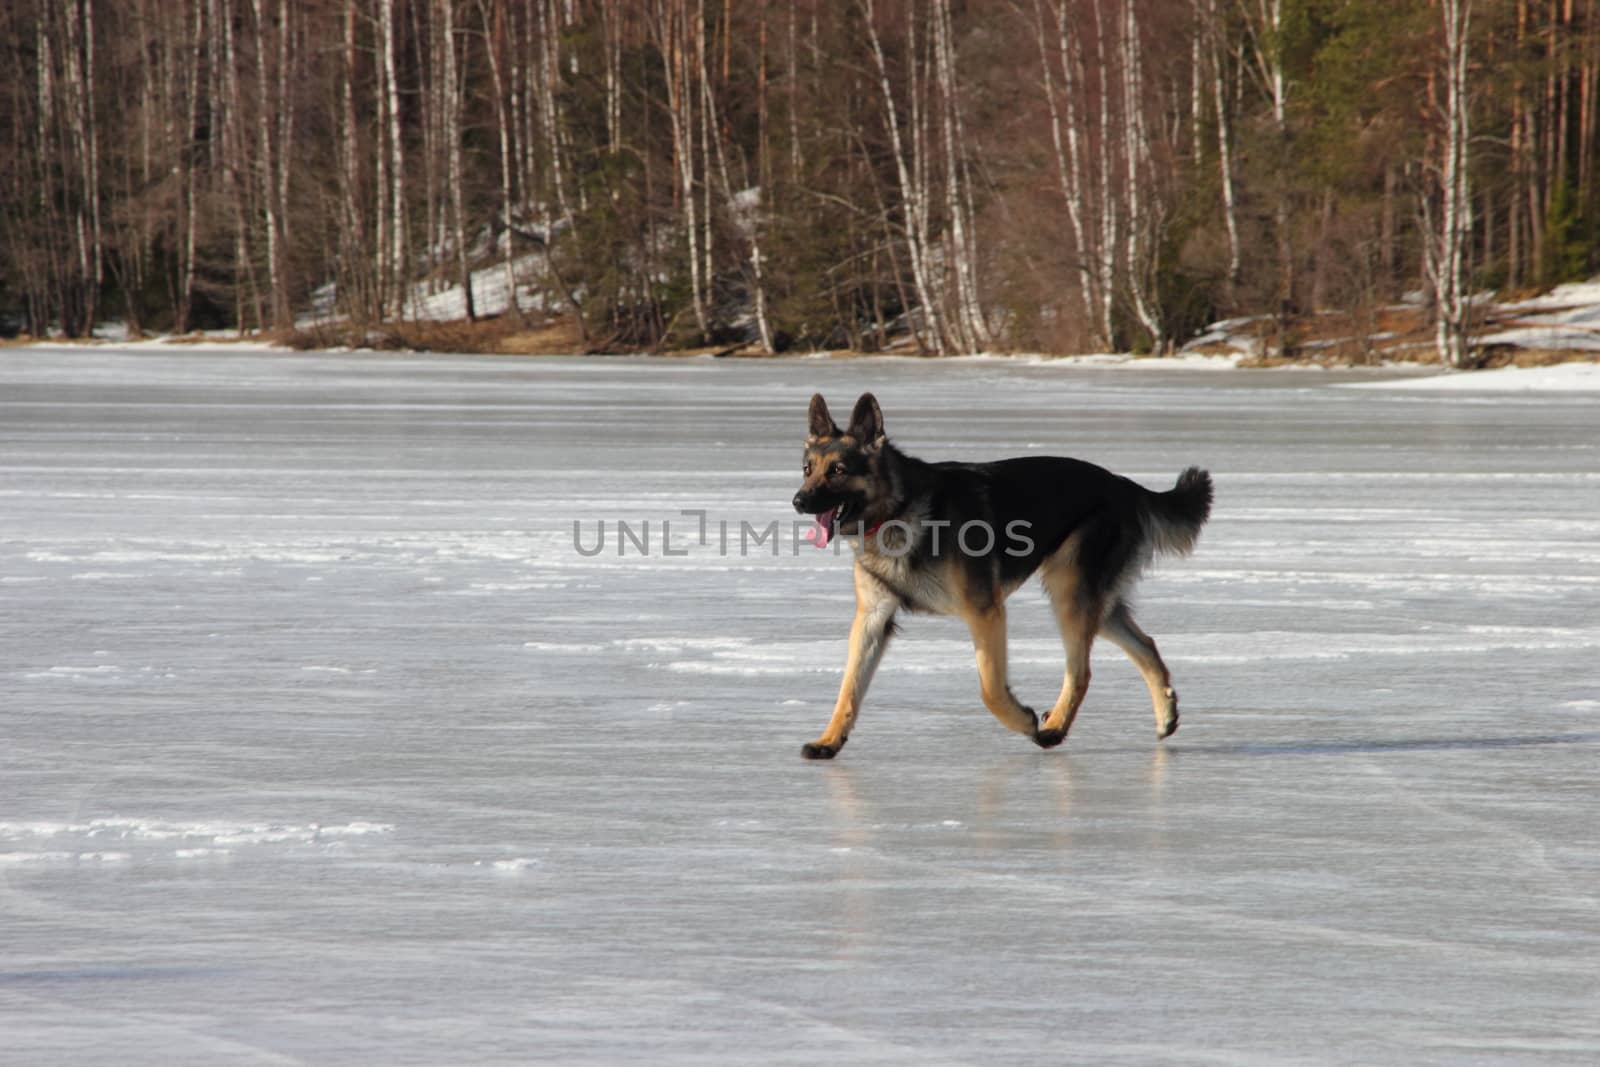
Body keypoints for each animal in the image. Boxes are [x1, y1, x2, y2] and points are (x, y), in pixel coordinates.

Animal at [787, 391, 1209, 758]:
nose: (798, 501)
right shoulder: (871, 620)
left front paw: (1024, 721)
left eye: (838, 470)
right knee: (1146, 645)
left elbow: (990, 689)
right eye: (808, 469)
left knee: (1082, 671)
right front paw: (829, 740)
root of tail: (1123, 484)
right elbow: (848, 689)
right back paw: (1165, 713)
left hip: (1069, 597)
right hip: (1094, 606)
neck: (898, 508)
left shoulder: (984, 612)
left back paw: (1053, 727)